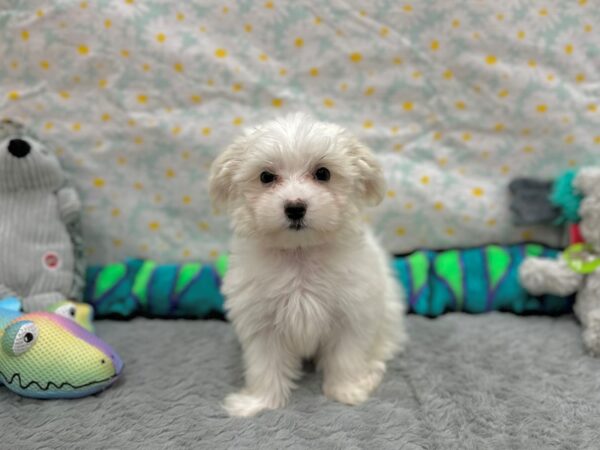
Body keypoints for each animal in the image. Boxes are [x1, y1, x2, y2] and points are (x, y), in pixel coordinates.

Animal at [209, 113, 406, 418]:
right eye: (266, 177)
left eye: (323, 173)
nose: (295, 207)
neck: (299, 253)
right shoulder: (261, 321)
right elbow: (264, 364)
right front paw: (258, 402)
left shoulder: (351, 314)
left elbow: (346, 356)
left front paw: (347, 390)